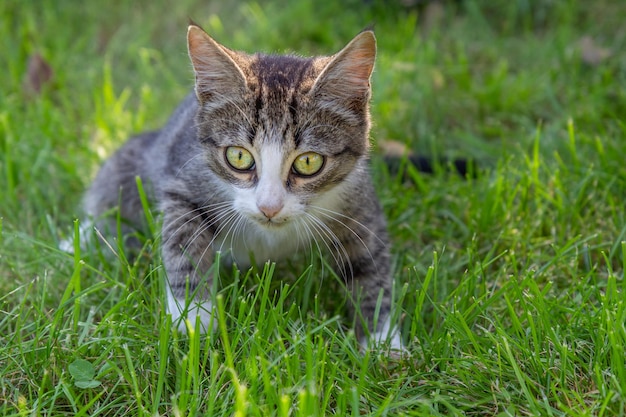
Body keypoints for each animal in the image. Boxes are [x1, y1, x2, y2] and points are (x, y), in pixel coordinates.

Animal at [75, 22, 402, 348]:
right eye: (239, 156)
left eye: (309, 162)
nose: (269, 207)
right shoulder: (183, 175)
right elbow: (182, 237)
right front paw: (193, 316)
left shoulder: (356, 198)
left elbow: (367, 262)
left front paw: (381, 339)